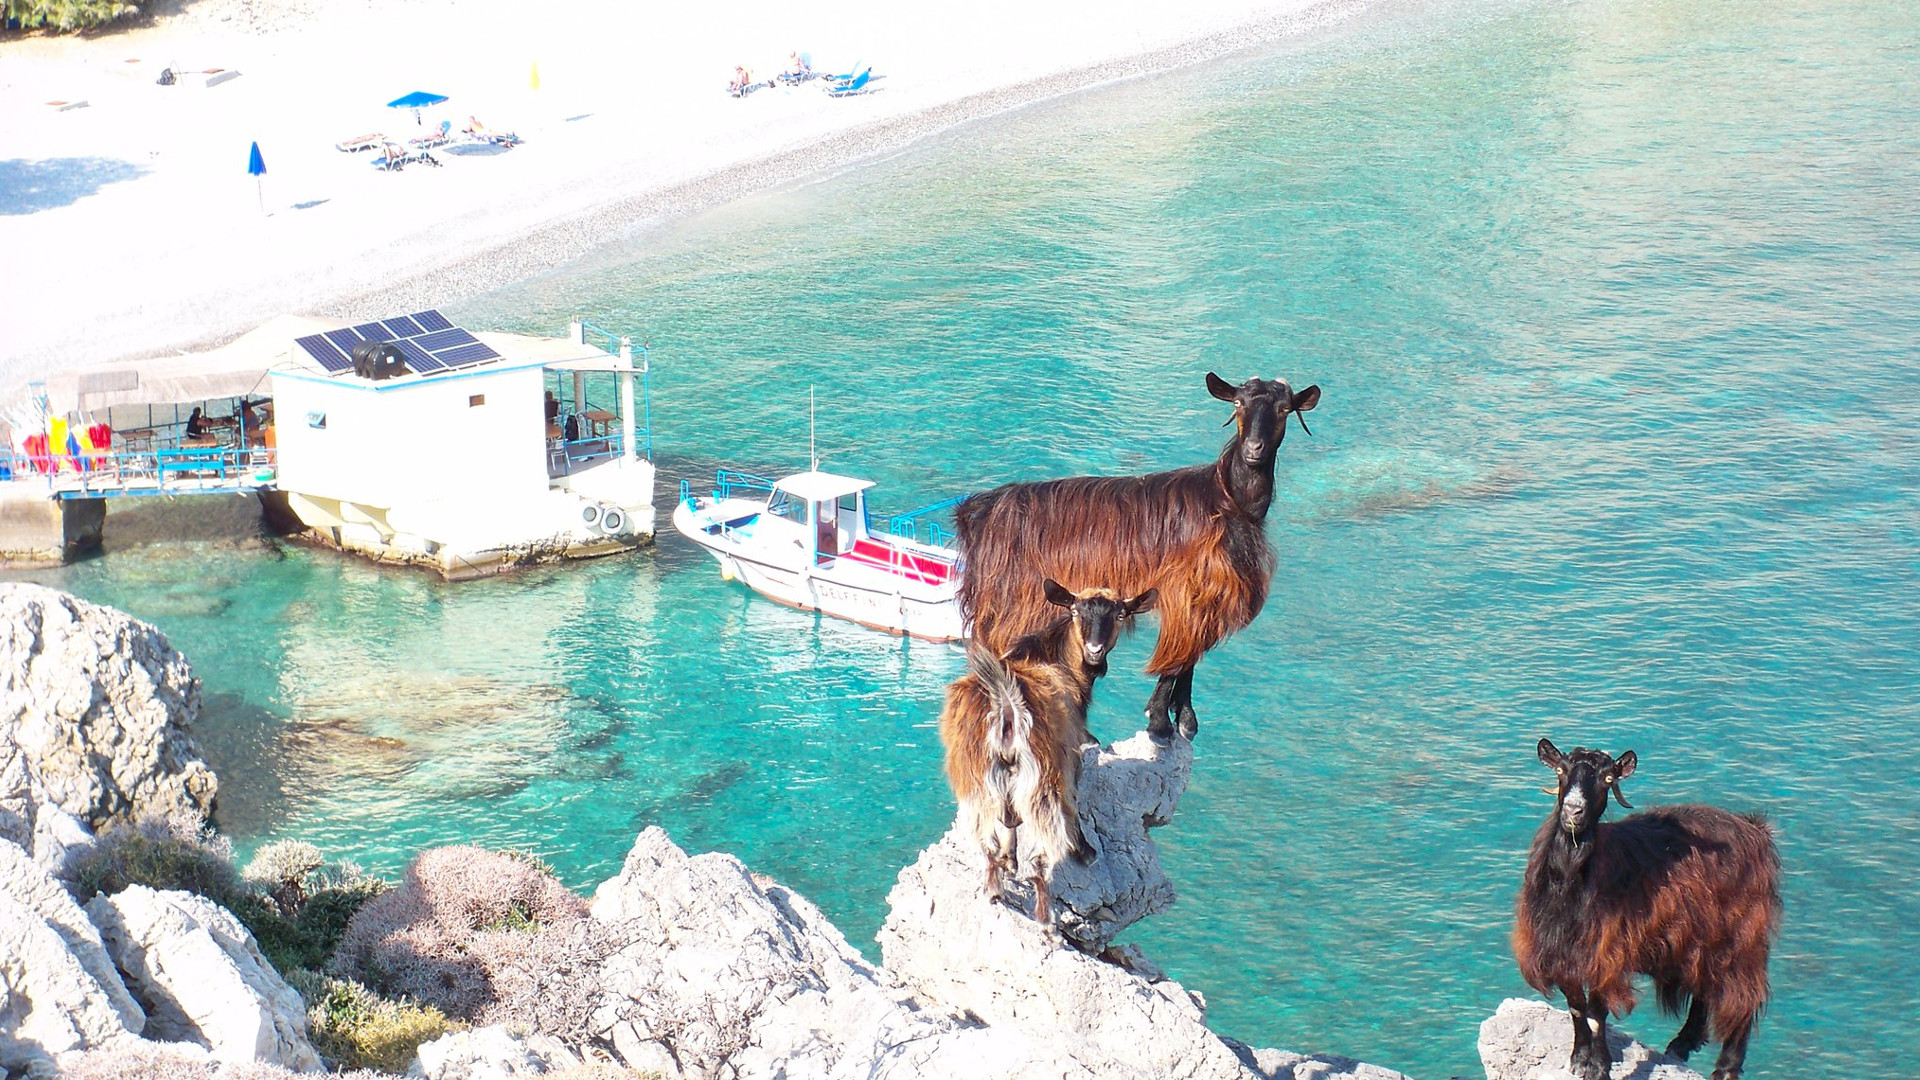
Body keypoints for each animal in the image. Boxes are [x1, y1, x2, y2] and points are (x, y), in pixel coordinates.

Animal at [933, 576, 1144, 922]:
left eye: (1120, 614)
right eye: (1076, 611)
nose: (1095, 651)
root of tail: (1005, 700)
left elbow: (1009, 819)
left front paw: (1010, 860)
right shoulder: (1069, 751)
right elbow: (1073, 799)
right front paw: (1085, 851)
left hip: (975, 772)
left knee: (990, 828)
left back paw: (995, 886)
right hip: (1039, 776)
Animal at [952, 372, 1313, 737]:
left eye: (1284, 409)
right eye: (1238, 403)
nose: (1254, 449)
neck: (1226, 500)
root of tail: (977, 510)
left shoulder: (1203, 599)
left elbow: (1190, 657)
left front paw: (1184, 718)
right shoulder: (1185, 591)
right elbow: (1177, 656)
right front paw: (1160, 721)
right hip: (1011, 606)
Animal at [1512, 734, 1781, 1076]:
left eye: (1608, 778)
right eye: (1560, 770)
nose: (1574, 811)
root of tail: (1755, 829)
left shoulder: (1608, 954)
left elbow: (1596, 1012)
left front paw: (1598, 1066)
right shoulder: (1561, 954)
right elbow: (1576, 1008)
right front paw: (1578, 1058)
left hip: (1742, 935)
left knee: (1743, 998)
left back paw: (1725, 1068)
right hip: (1703, 938)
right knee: (1705, 987)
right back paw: (1682, 1043)